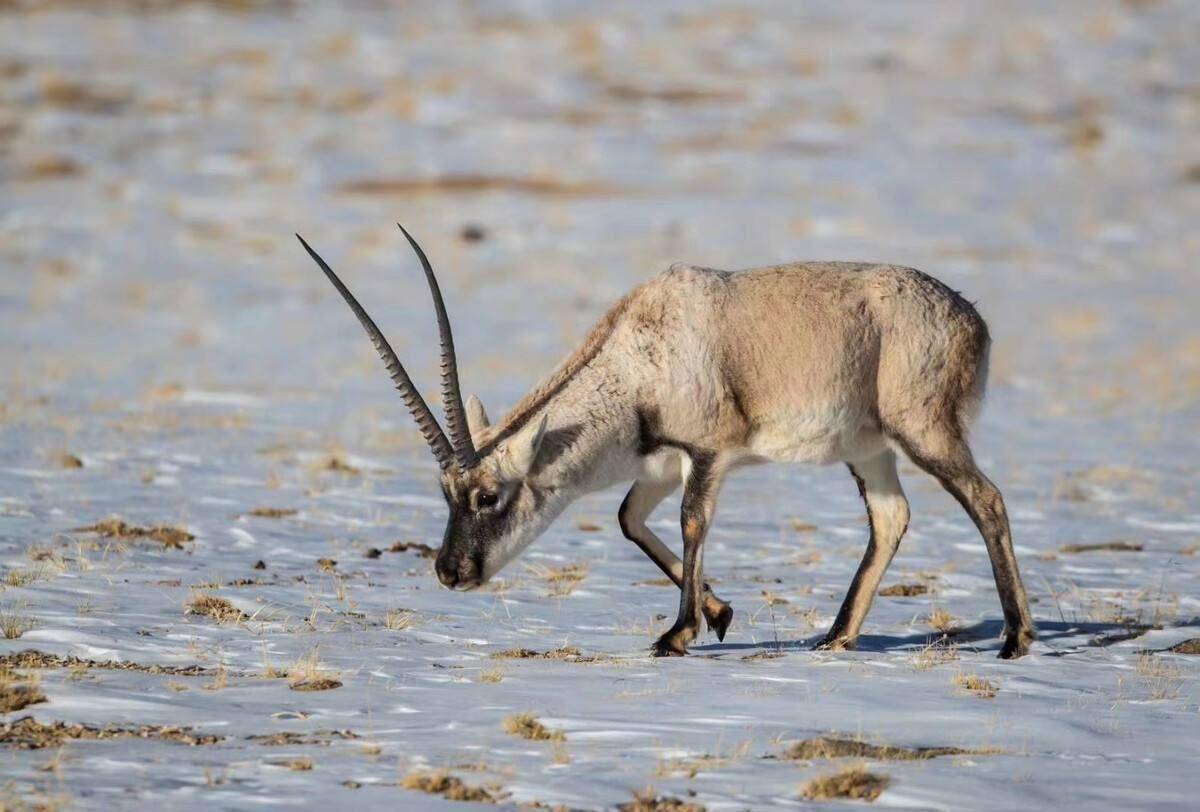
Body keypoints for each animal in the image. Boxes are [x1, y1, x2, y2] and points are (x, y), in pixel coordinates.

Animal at [295, 224, 1036, 657]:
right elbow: (629, 520)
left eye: (488, 497)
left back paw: (1015, 638)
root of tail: (971, 319)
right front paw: (719, 613)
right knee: (890, 517)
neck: (635, 356)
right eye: (446, 493)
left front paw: (677, 634)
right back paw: (835, 636)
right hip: (869, 450)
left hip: (923, 432)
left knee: (986, 499)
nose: (450, 572)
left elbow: (690, 522)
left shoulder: (708, 455)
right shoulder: (657, 464)